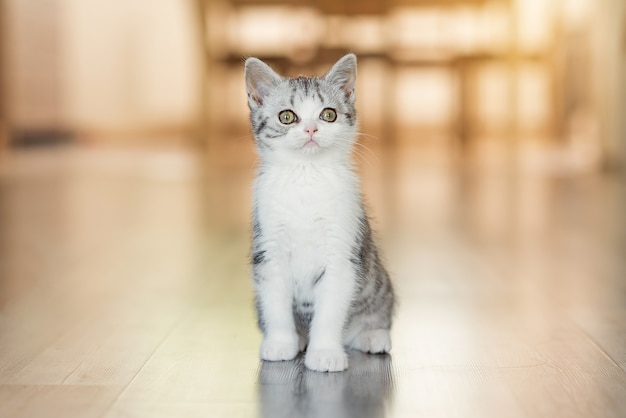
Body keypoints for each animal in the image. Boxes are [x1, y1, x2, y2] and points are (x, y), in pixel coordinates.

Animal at [243, 54, 390, 370]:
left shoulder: (342, 252)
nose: (311, 129)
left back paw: (373, 336)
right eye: (287, 116)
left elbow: (331, 309)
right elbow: (275, 303)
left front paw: (325, 352)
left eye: (328, 115)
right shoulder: (269, 250)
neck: (306, 176)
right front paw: (281, 343)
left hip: (378, 284)